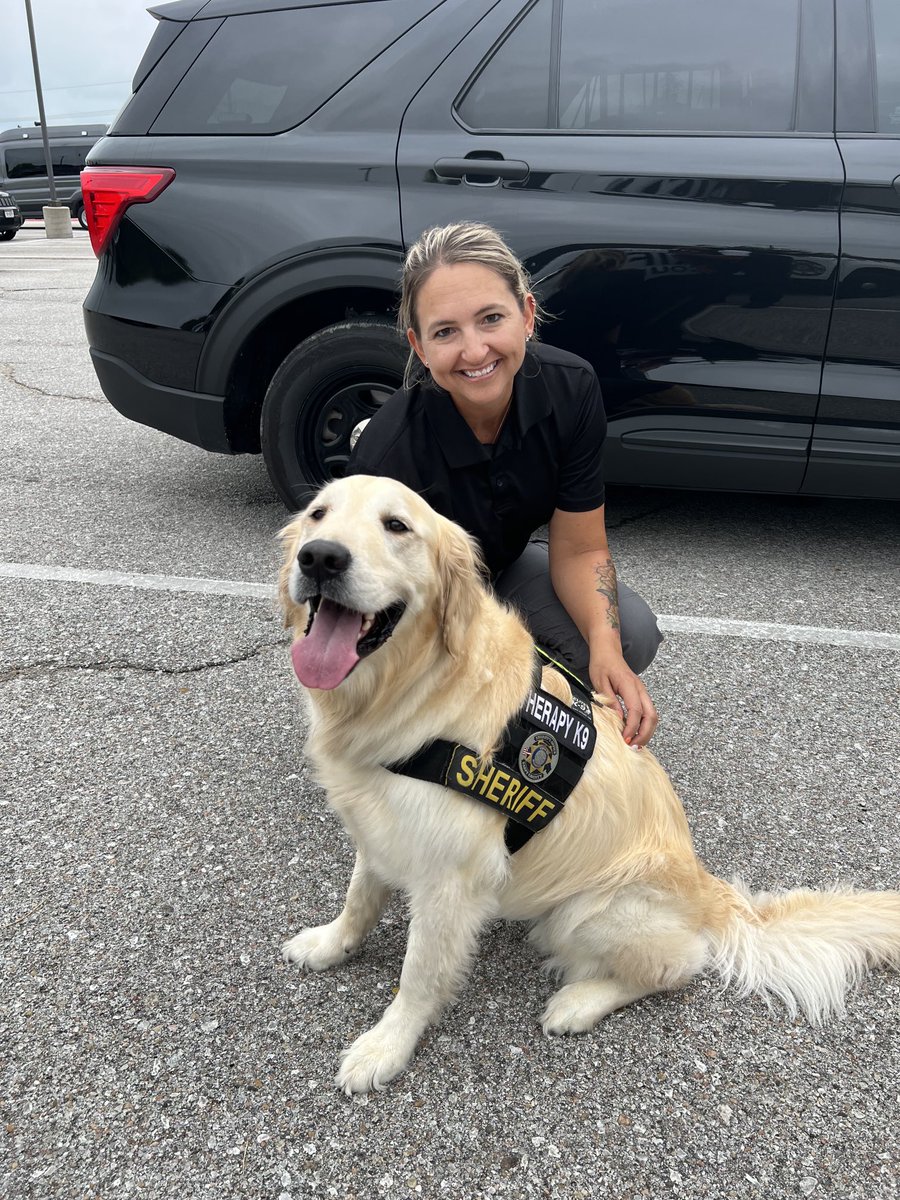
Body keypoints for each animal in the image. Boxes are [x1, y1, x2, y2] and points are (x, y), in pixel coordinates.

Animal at [278, 472, 897, 1094]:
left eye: (397, 526)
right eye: (317, 514)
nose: (320, 558)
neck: (415, 688)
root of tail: (709, 891)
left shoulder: (450, 879)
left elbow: (419, 973)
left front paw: (386, 1046)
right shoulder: (379, 824)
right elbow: (359, 898)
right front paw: (330, 944)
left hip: (590, 910)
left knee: (678, 965)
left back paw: (578, 1002)